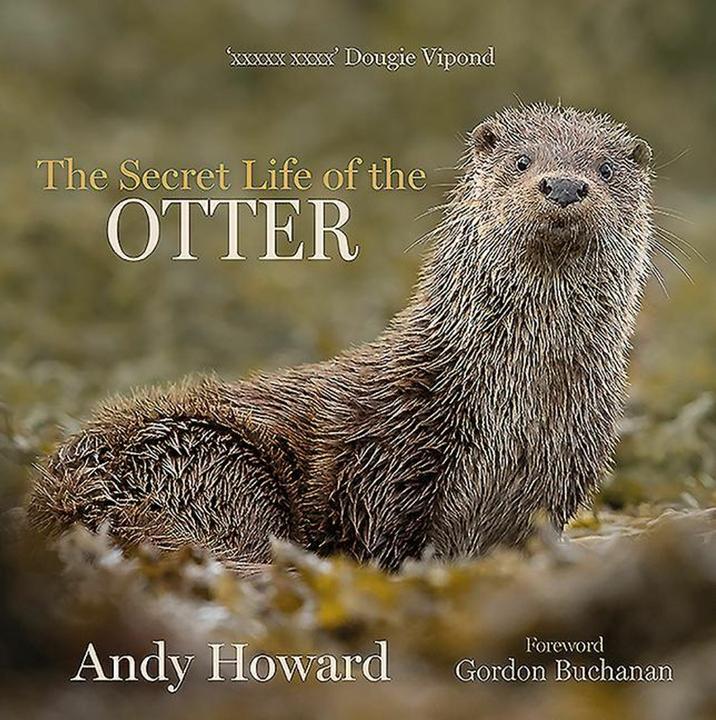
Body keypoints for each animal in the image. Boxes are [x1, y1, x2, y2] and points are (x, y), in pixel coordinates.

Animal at [28, 104, 654, 573]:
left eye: (605, 169)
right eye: (522, 160)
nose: (565, 184)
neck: (520, 405)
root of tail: (63, 495)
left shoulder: (560, 477)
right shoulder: (387, 462)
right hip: (211, 460)